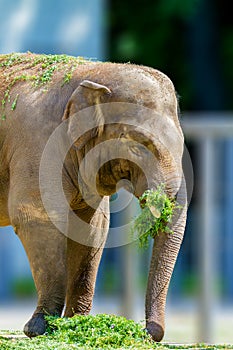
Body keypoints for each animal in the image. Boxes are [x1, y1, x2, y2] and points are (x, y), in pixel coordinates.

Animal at [0, 52, 187, 342]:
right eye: (137, 147)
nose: (148, 331)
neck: (95, 73)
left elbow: (92, 228)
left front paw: (75, 324)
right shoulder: (37, 145)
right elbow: (39, 219)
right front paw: (39, 328)